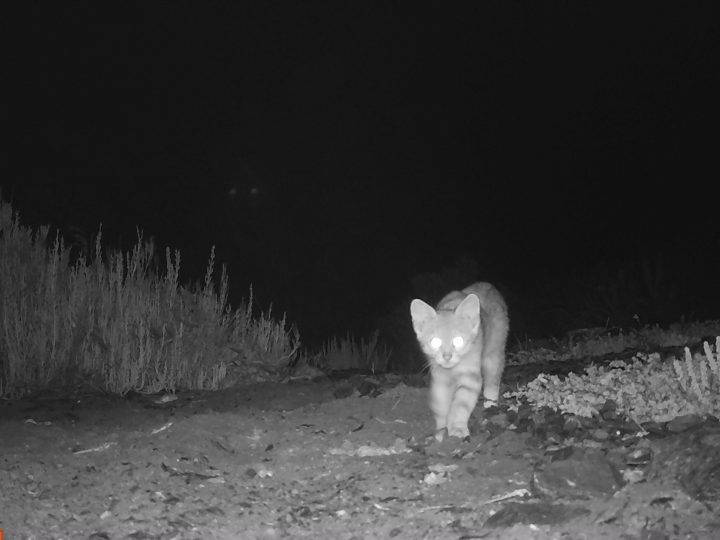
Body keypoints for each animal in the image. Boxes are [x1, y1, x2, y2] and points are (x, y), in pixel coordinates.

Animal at [408, 280, 510, 440]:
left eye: (458, 340)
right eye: (435, 342)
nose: (447, 356)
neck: (453, 370)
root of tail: (486, 284)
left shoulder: (471, 377)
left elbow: (460, 405)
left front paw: (457, 429)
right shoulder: (439, 378)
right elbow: (441, 405)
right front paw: (440, 433)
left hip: (493, 352)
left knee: (493, 379)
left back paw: (490, 406)